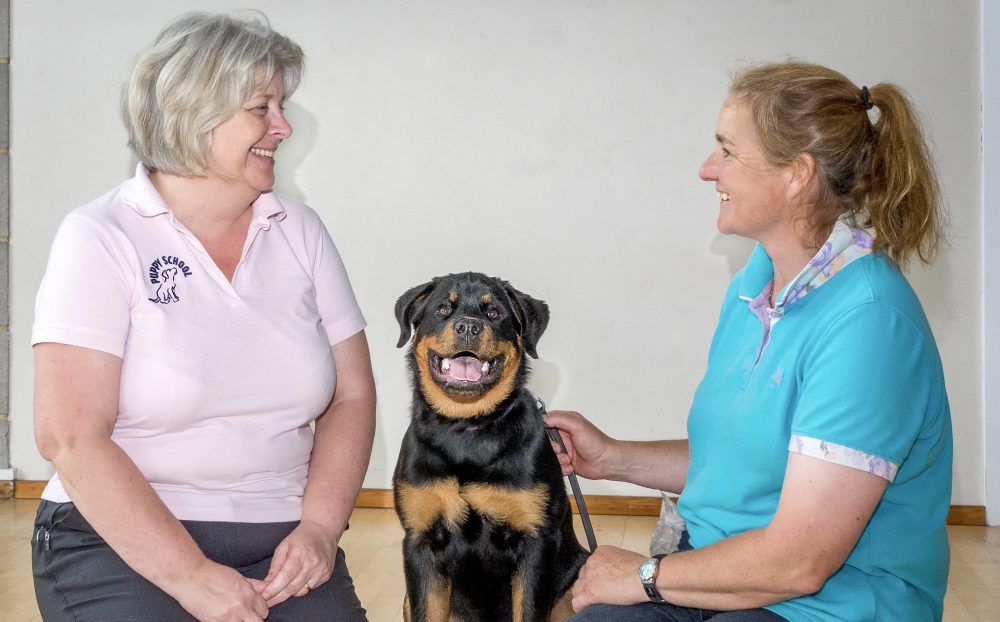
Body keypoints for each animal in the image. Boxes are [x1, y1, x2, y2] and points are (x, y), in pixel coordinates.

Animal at [394, 272, 588, 622]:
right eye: (443, 309)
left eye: (495, 313)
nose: (468, 327)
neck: (467, 428)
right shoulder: (421, 540)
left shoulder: (536, 542)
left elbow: (528, 610)